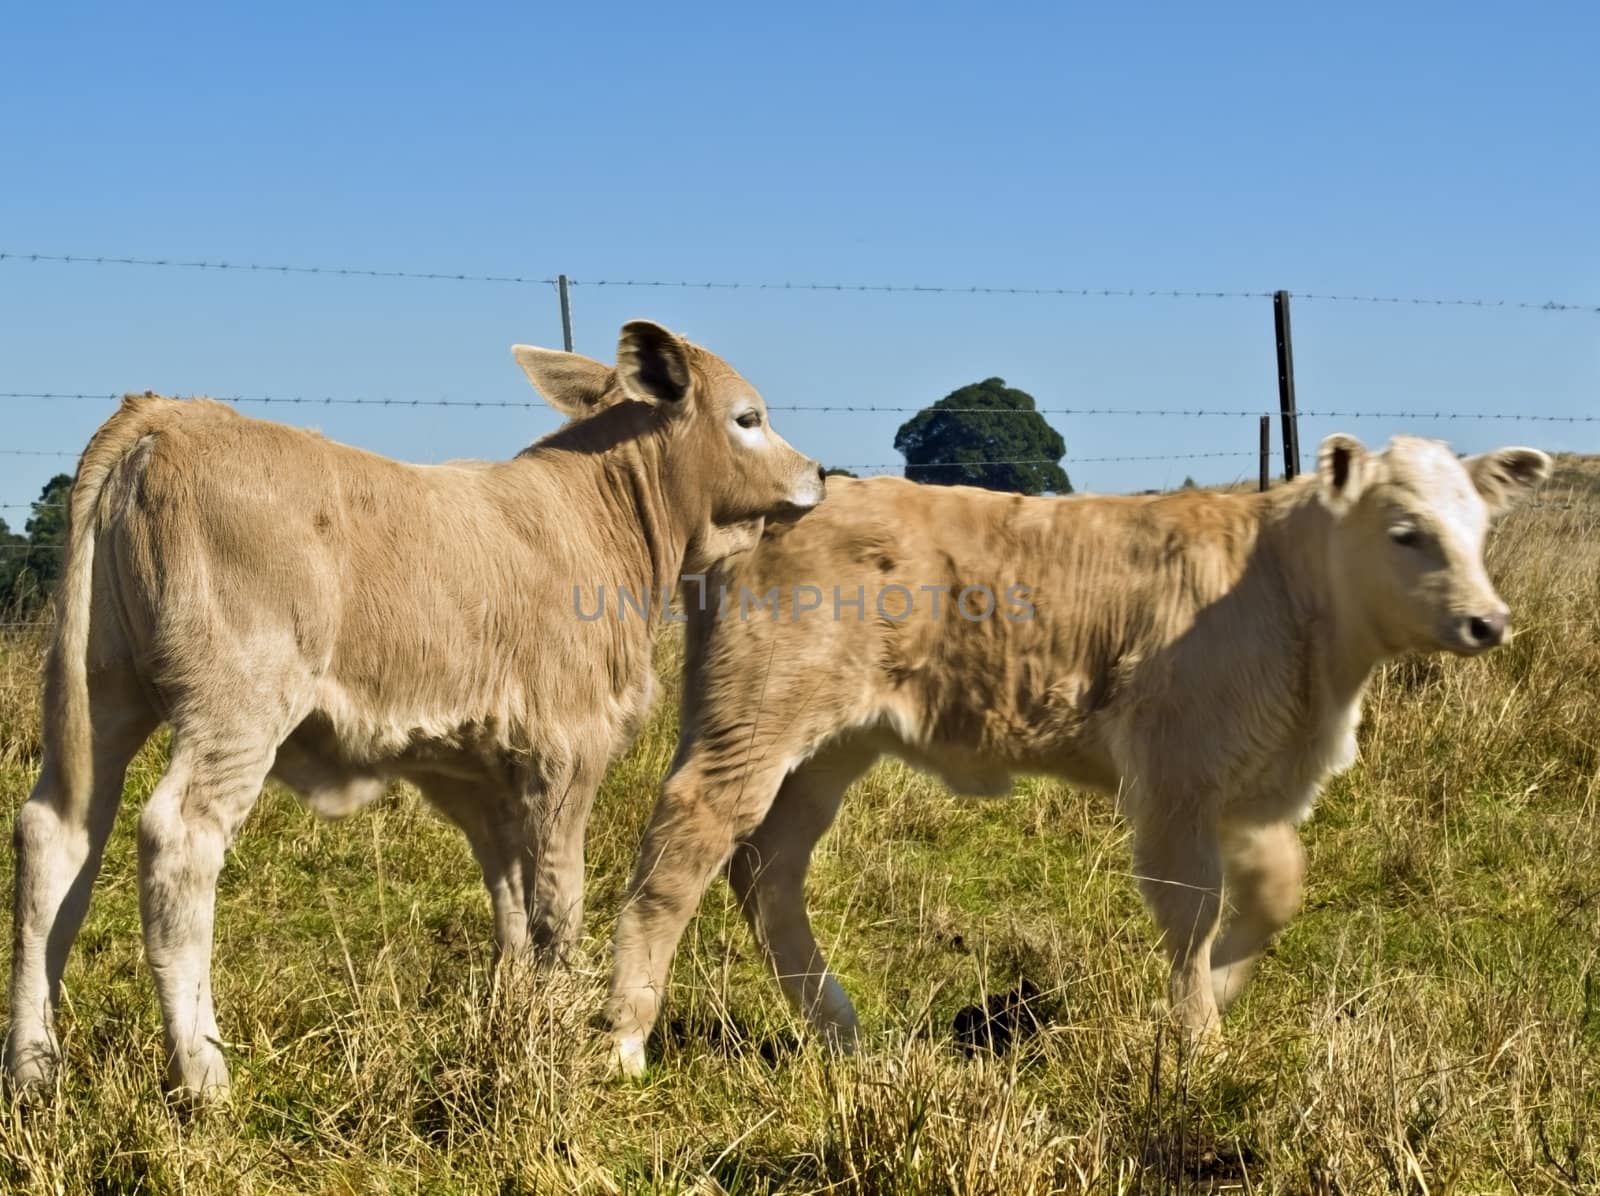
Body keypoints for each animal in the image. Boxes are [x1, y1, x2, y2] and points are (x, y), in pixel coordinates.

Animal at [12, 319, 832, 1100]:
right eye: (748, 418)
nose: (819, 475)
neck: (606, 525)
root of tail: (164, 414)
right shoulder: (567, 743)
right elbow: (558, 898)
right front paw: (559, 1022)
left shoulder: (479, 771)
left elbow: (513, 900)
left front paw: (516, 1016)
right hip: (235, 703)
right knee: (178, 838)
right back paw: (203, 1073)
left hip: (102, 689)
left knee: (57, 833)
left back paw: (33, 1066)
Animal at [601, 431, 1548, 1074]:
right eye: (1404, 531)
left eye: (1478, 528)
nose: (1488, 621)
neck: (1293, 598)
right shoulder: (1175, 775)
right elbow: (1191, 909)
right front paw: (1200, 1039)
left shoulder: (1243, 778)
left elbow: (1276, 891)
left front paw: (1222, 990)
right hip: (755, 718)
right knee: (686, 843)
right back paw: (625, 1039)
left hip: (830, 747)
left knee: (767, 869)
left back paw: (837, 1027)